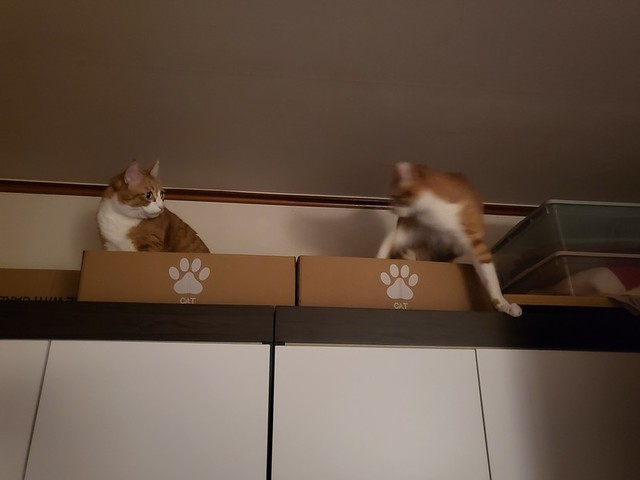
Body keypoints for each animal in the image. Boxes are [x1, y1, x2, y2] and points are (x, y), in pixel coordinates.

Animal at [377, 162, 522, 317]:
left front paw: (503, 304)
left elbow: (490, 276)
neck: (437, 218)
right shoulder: (413, 231)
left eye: (394, 196)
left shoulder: (474, 242)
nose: (391, 209)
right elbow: (389, 241)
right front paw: (379, 260)